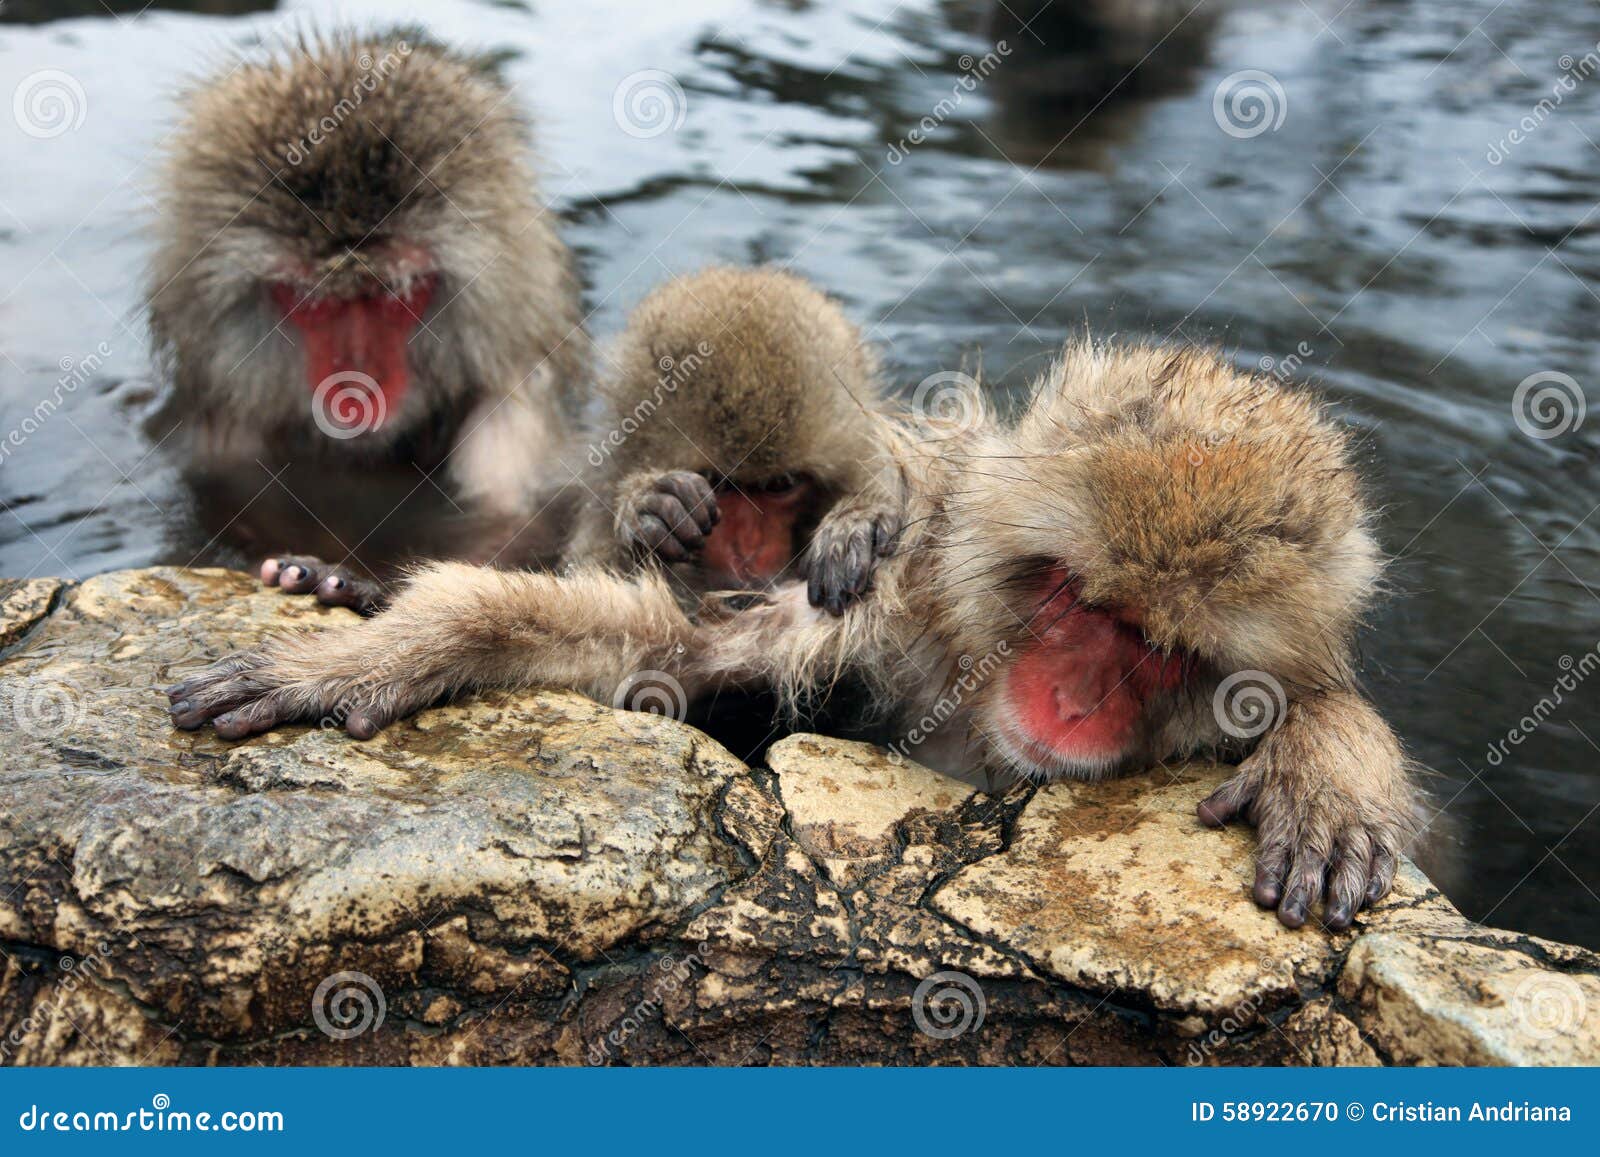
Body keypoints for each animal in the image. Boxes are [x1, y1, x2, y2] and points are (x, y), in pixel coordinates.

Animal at [167, 340, 1415, 931]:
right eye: (1076, 602)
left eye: (1152, 643)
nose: (1073, 698)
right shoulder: (882, 607)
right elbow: (668, 659)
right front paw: (380, 651)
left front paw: (1331, 760)